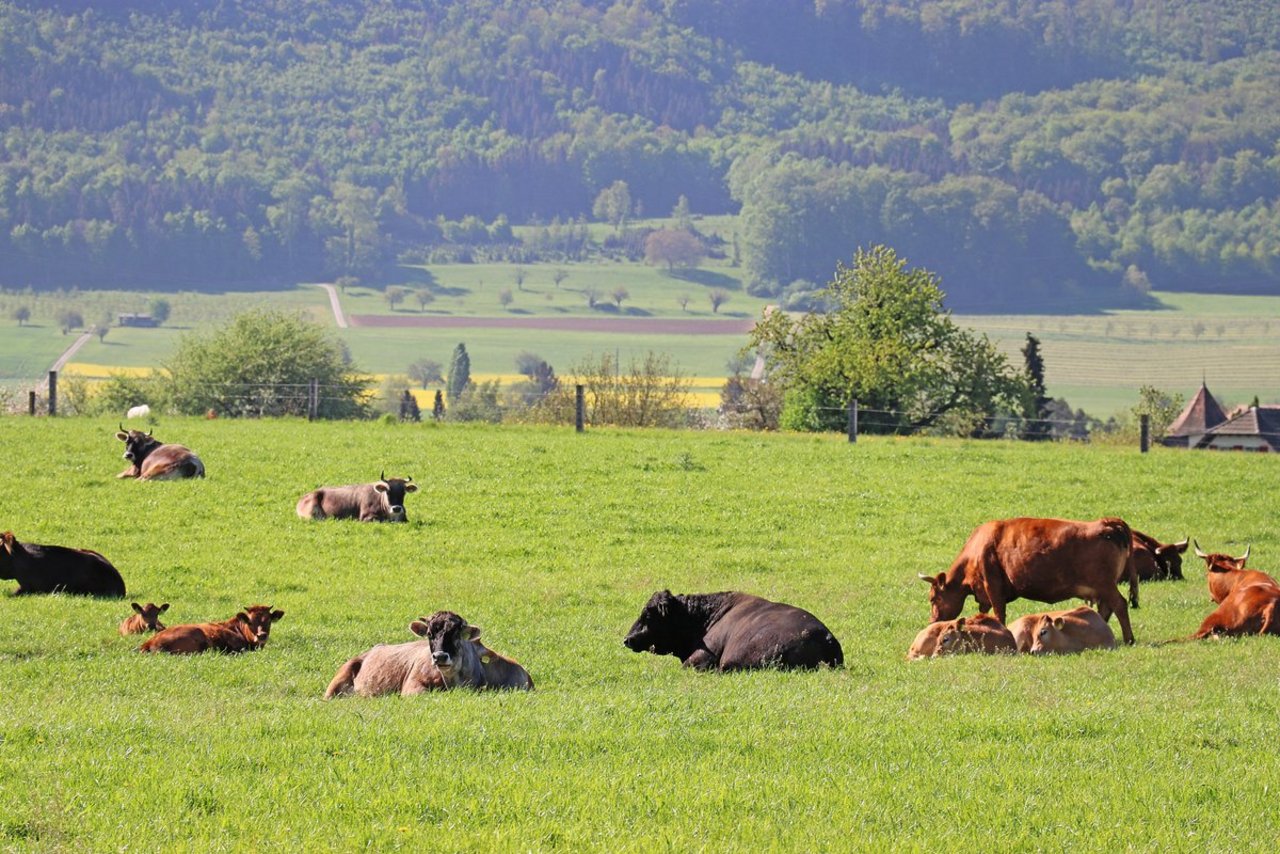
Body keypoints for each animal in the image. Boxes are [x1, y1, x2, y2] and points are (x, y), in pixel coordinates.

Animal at [919, 517, 1136, 645]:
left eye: (933, 599)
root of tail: (1106, 523)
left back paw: (1129, 639)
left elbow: (999, 613)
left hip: (1105, 585)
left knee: (1119, 604)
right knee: (1106, 609)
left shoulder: (993, 587)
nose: (932, 622)